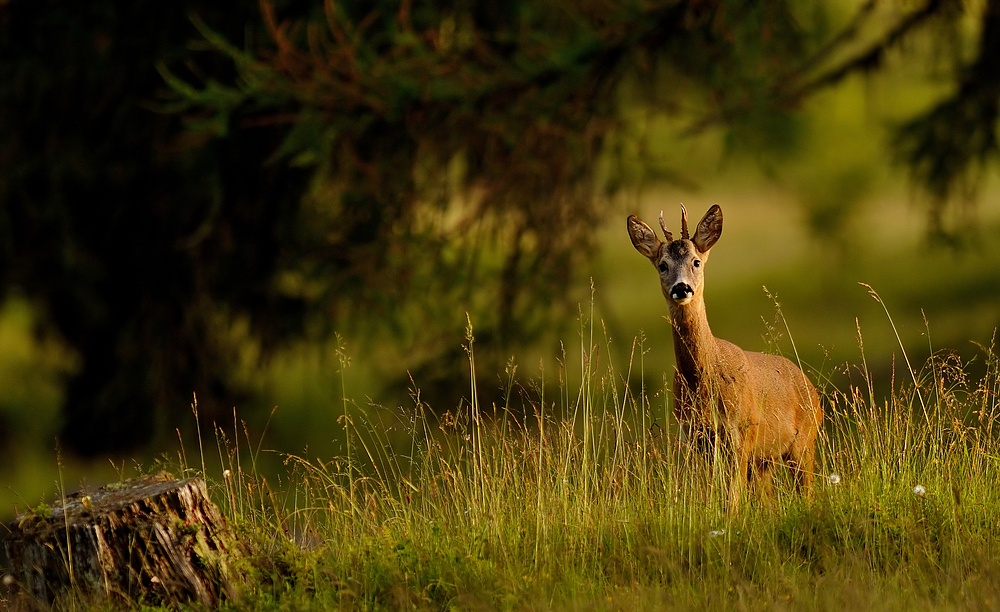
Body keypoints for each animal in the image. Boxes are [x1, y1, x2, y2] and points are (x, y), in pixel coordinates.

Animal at [628, 206, 824, 506]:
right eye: (662, 265)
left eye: (696, 262)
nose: (682, 288)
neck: (702, 382)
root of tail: (812, 388)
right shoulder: (696, 437)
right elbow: (711, 493)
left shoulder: (742, 430)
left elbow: (733, 496)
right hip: (765, 459)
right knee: (769, 499)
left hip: (804, 441)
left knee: (807, 492)